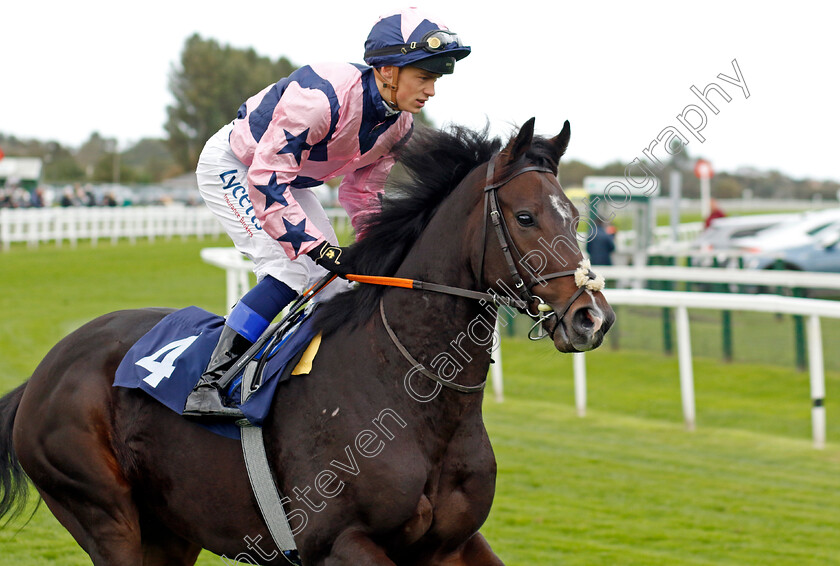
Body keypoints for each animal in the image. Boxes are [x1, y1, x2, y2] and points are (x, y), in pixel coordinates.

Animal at [0, 117, 616, 564]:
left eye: (573, 214)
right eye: (526, 216)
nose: (592, 318)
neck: (408, 391)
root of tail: (42, 373)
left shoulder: (451, 544)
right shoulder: (337, 541)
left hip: (172, 531)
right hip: (105, 514)